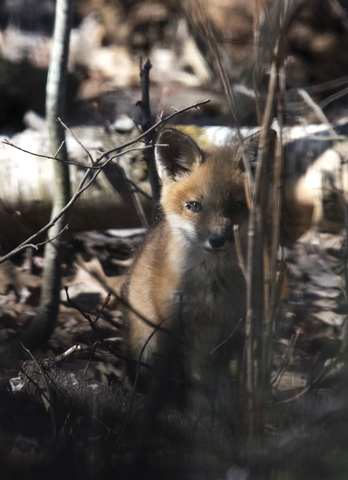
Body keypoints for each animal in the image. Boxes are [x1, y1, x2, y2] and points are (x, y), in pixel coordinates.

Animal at [123, 127, 270, 398]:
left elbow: (220, 382)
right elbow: (188, 378)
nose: (217, 240)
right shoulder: (176, 326)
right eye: (194, 206)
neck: (211, 289)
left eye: (237, 206)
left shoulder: (232, 326)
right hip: (147, 342)